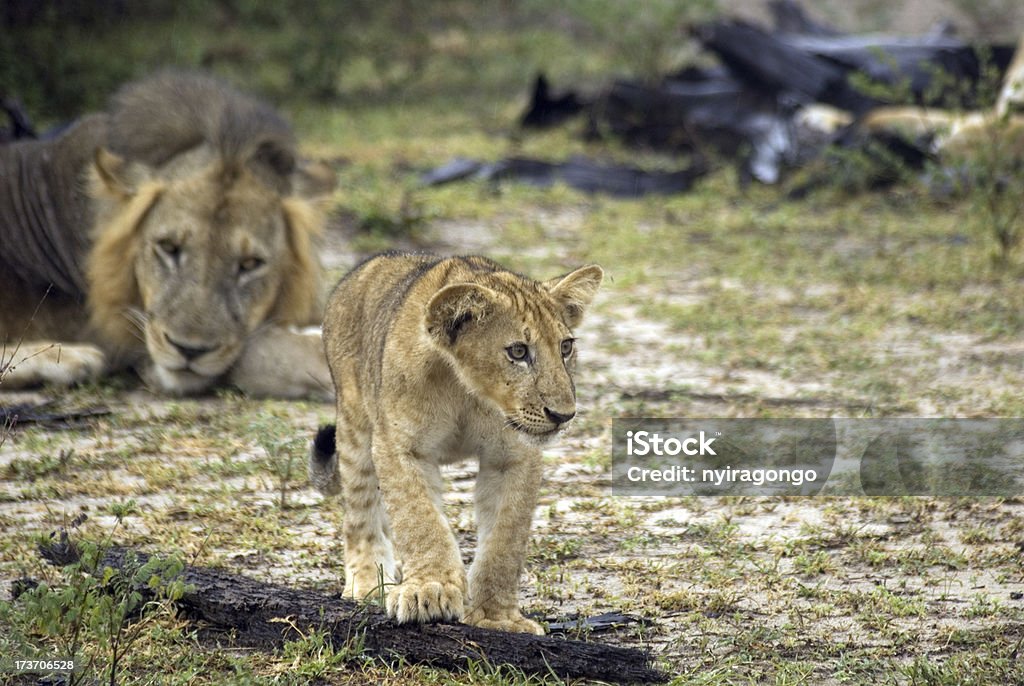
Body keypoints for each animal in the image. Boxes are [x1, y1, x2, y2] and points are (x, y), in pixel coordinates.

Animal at [0, 71, 333, 397]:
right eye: (169, 247)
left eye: (250, 264)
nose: (189, 351)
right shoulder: (138, 345)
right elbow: (270, 351)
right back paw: (73, 358)